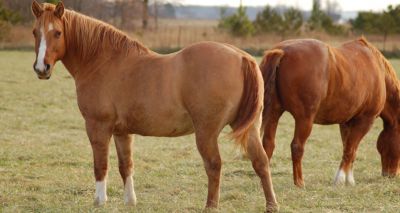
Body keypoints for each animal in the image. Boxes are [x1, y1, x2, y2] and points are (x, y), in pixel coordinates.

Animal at [30, 1, 278, 211]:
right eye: (35, 32)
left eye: (57, 32)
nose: (41, 68)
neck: (103, 61)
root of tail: (241, 56)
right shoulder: (122, 132)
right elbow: (126, 165)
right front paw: (130, 201)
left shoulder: (97, 127)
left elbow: (101, 165)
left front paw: (99, 201)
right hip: (250, 129)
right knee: (261, 162)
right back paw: (271, 205)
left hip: (206, 133)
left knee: (214, 165)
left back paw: (210, 207)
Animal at [260, 37, 398, 187]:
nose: (392, 174)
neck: (377, 69)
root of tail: (282, 51)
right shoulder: (366, 120)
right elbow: (350, 149)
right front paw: (341, 179)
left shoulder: (346, 122)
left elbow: (349, 148)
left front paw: (349, 179)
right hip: (304, 120)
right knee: (297, 146)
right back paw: (299, 182)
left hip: (273, 114)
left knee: (268, 144)